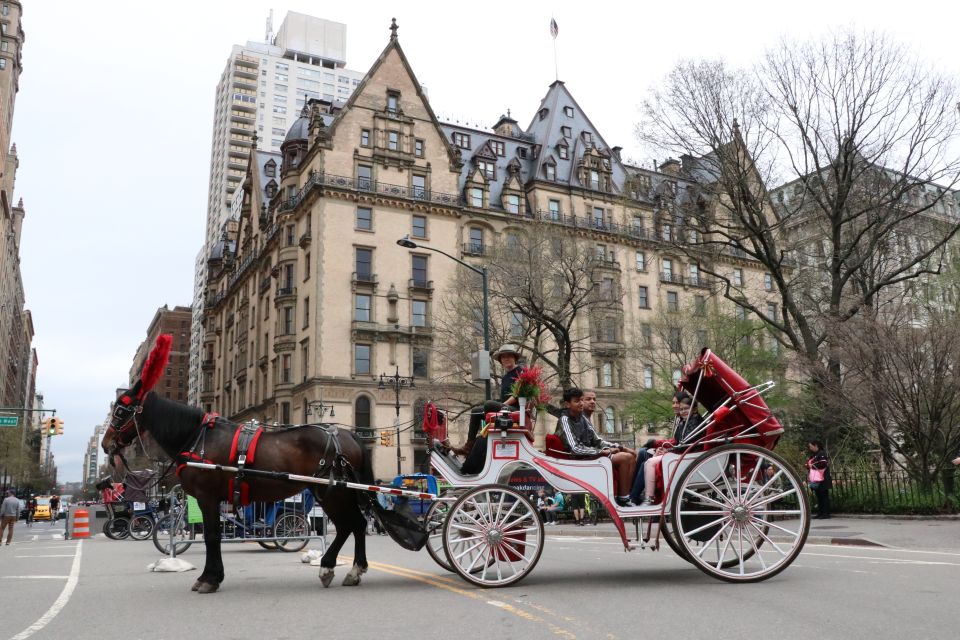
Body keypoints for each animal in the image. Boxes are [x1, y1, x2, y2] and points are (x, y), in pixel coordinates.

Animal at [101, 390, 372, 596]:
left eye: (120, 411)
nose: (106, 443)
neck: (198, 438)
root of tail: (347, 434)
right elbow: (213, 536)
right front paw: (211, 576)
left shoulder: (207, 497)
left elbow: (211, 536)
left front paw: (209, 579)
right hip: (333, 493)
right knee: (355, 525)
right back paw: (350, 570)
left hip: (332, 493)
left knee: (350, 525)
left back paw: (333, 568)